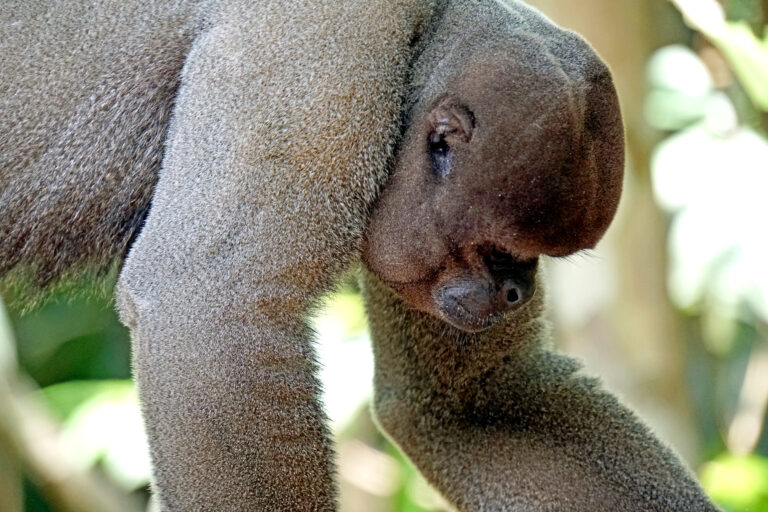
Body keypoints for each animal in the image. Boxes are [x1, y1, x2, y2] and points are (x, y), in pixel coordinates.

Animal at [0, 0, 720, 511]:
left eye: (535, 260)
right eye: (501, 251)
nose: (516, 293)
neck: (420, 32)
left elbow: (471, 401)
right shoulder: (332, 50)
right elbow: (208, 310)